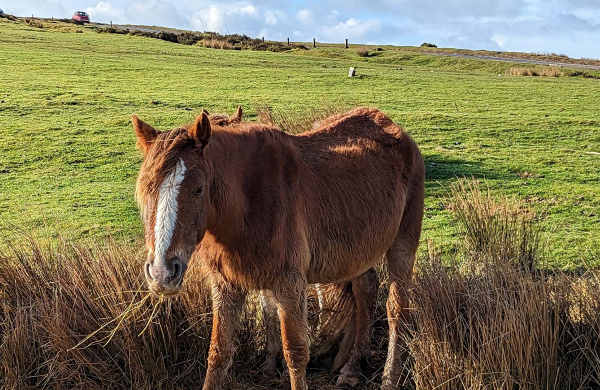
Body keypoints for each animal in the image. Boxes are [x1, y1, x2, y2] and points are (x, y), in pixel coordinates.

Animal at [134, 106, 424, 390]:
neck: (249, 204)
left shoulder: (289, 283)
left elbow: (295, 352)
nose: (162, 272)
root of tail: (394, 129)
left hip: (402, 245)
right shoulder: (226, 285)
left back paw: (390, 377)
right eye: (146, 190)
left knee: (397, 308)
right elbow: (219, 352)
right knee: (366, 288)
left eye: (198, 189)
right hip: (359, 251)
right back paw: (353, 368)